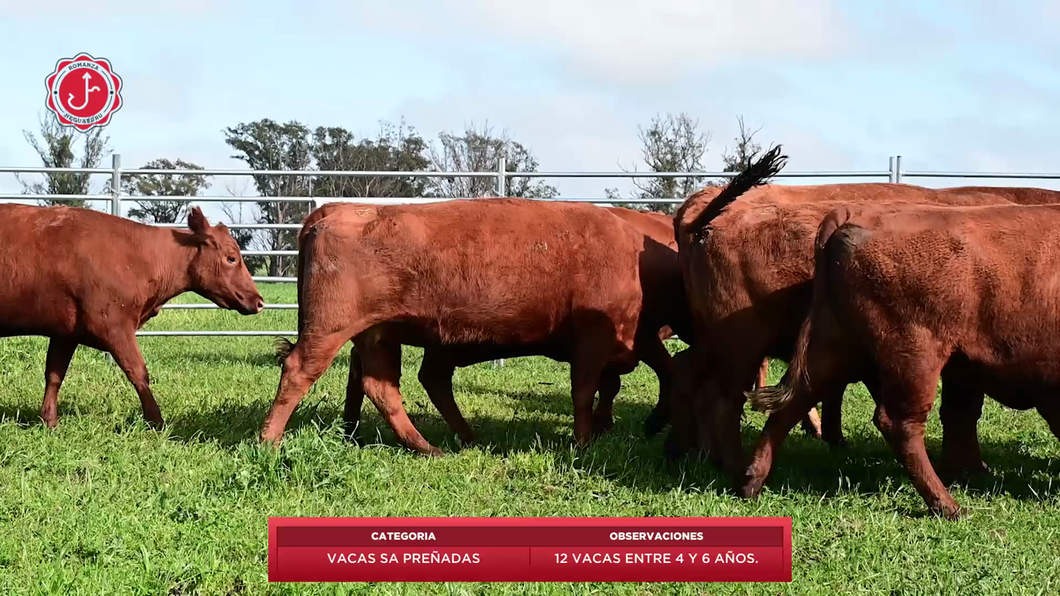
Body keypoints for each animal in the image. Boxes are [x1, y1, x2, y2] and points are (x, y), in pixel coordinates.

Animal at [0, 203, 263, 426]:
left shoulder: (65, 332)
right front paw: (156, 421)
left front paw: (49, 421)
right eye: (231, 258)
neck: (140, 257)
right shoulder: (113, 325)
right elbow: (138, 372)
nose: (259, 302)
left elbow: (54, 375)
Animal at [741, 201, 1060, 517]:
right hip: (916, 359)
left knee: (794, 403)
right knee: (900, 424)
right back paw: (949, 506)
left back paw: (750, 484)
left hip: (833, 347)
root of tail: (852, 219)